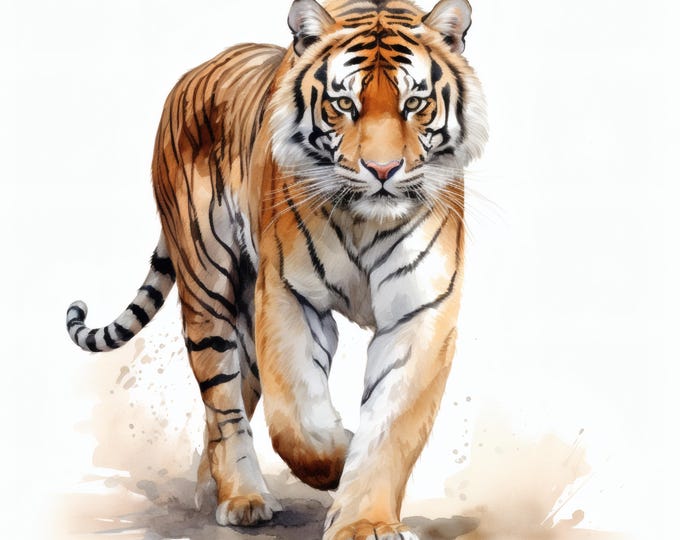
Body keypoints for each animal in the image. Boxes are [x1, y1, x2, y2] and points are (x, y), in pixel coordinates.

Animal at [65, 0, 487, 538]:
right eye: (344, 104)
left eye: (414, 103)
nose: (383, 170)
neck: (364, 221)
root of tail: (196, 72)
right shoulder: (289, 295)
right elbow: (297, 425)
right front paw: (342, 453)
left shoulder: (420, 309)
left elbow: (393, 425)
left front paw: (364, 521)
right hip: (208, 290)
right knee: (224, 405)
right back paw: (242, 498)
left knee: (231, 403)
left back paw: (210, 488)